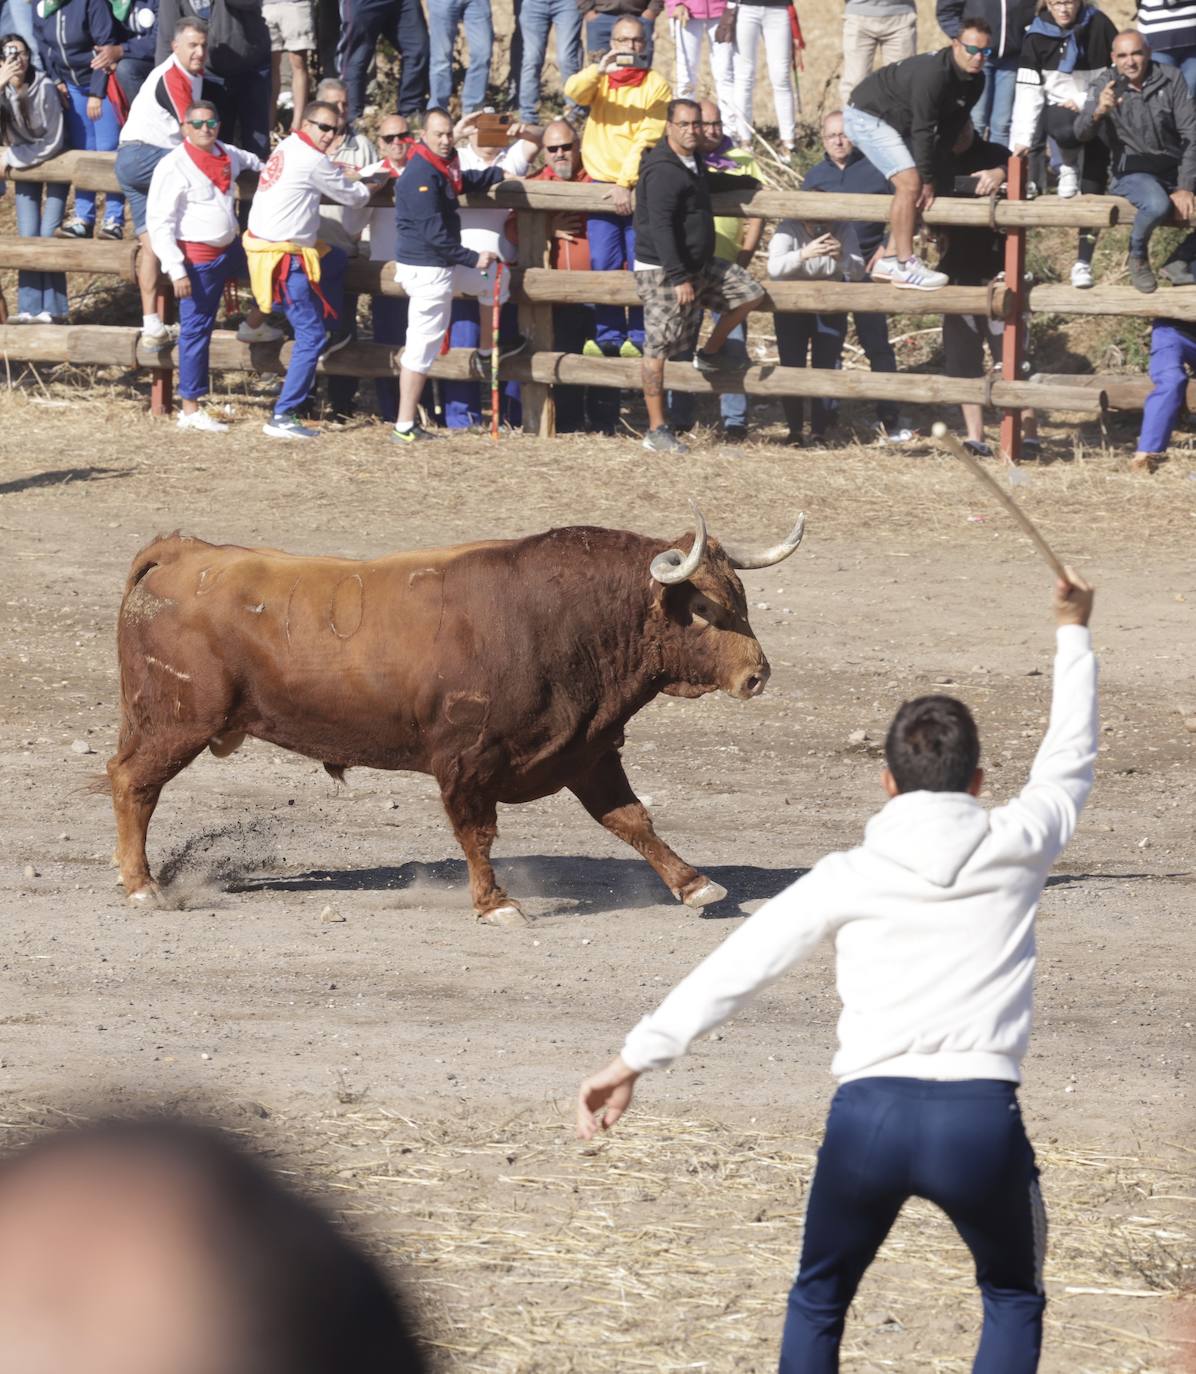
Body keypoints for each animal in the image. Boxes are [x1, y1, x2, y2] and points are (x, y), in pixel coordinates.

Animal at [109, 505, 802, 923]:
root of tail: (186, 553)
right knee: (133, 785)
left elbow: (633, 820)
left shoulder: (588, 750)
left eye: (741, 597)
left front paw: (695, 884)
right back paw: (143, 886)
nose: (757, 674)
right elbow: (478, 832)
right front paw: (496, 903)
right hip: (176, 722)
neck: (566, 618)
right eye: (704, 609)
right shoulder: (467, 762)